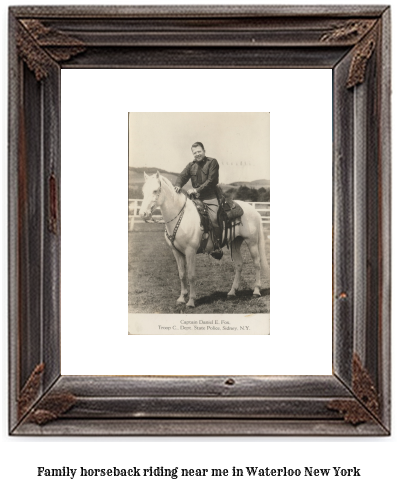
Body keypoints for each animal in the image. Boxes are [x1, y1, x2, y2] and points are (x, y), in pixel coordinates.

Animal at [139, 171, 270, 306]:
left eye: (155, 190)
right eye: (143, 191)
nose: (143, 214)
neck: (181, 217)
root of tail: (254, 211)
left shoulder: (190, 251)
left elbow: (191, 275)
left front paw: (191, 301)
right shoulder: (176, 252)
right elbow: (182, 274)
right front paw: (181, 298)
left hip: (251, 242)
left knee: (257, 263)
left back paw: (256, 291)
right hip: (235, 242)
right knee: (239, 265)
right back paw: (232, 292)